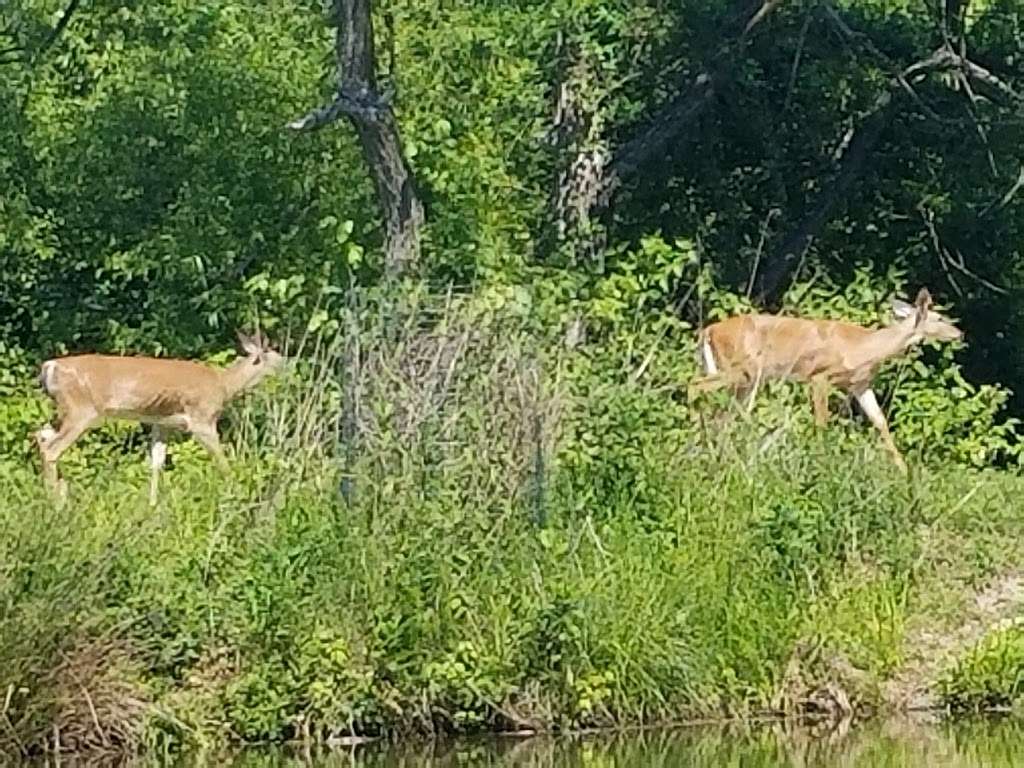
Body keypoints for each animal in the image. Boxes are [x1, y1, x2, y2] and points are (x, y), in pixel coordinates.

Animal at [35, 331, 284, 505]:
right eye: (278, 359)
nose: (289, 367)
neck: (224, 385)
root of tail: (50, 366)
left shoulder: (162, 423)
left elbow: (156, 462)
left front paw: (153, 504)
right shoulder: (202, 419)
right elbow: (222, 461)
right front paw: (236, 492)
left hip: (66, 411)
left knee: (42, 436)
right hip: (81, 410)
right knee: (52, 448)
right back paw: (55, 503)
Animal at [688, 286, 958, 473]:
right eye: (939, 318)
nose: (960, 333)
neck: (865, 348)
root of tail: (708, 331)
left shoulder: (860, 384)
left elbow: (880, 421)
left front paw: (903, 470)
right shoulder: (819, 376)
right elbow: (821, 422)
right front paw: (821, 460)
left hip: (744, 380)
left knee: (725, 414)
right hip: (742, 369)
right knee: (696, 388)